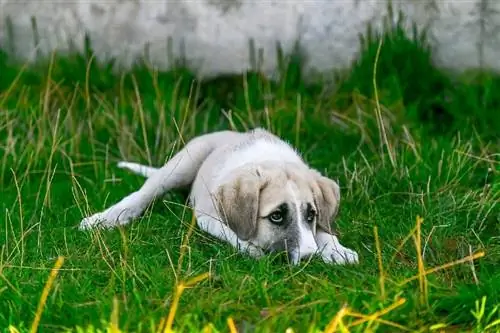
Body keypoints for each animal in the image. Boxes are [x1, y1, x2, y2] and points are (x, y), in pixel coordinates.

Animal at [78, 127, 360, 264]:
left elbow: (324, 230)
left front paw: (337, 249)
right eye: (277, 216)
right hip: (183, 162)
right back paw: (105, 218)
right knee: (141, 194)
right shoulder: (207, 216)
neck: (270, 160)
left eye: (311, 215)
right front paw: (252, 249)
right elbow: (235, 234)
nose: (309, 258)